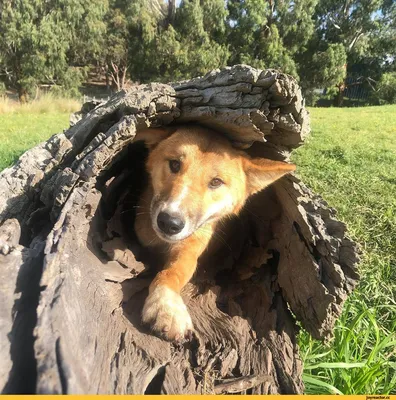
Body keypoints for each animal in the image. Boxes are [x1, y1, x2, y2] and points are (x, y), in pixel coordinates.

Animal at [135, 124, 296, 340]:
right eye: (175, 164)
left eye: (216, 182)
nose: (169, 223)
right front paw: (165, 305)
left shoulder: (190, 248)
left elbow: (172, 273)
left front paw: (165, 304)